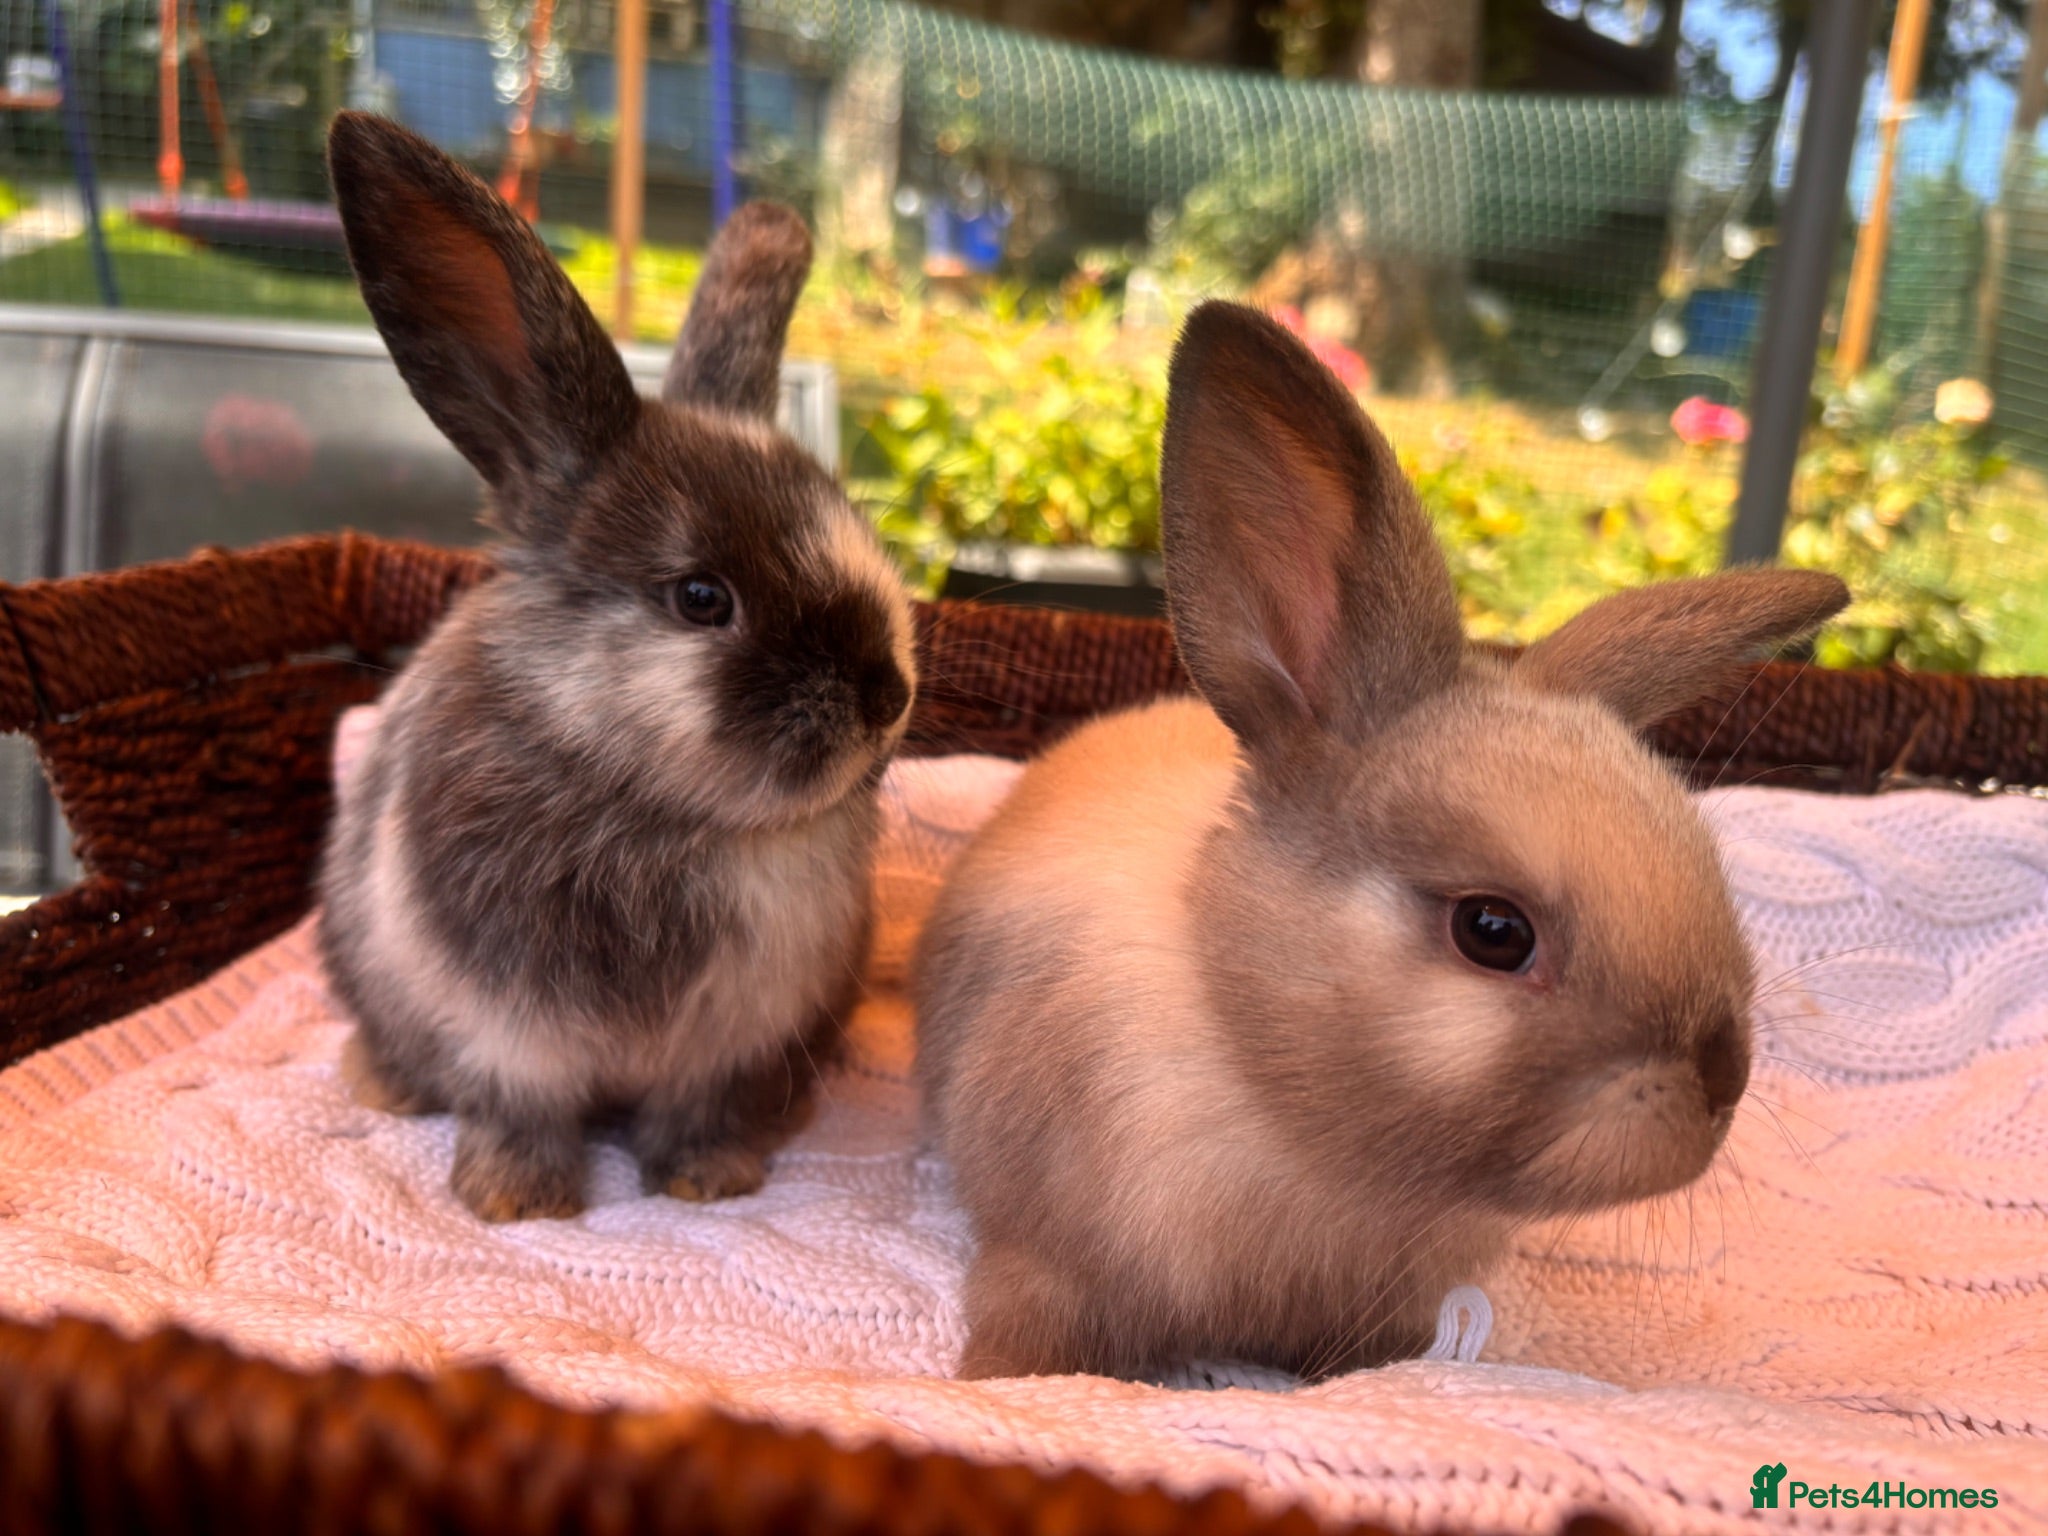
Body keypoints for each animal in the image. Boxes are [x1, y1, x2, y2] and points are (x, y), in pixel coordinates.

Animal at [315, 112, 916, 1223]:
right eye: (701, 598)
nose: (886, 694)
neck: (668, 817)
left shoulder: (731, 1041)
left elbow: (696, 1112)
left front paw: (706, 1182)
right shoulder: (505, 1031)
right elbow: (518, 1107)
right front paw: (514, 1201)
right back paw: (381, 1084)